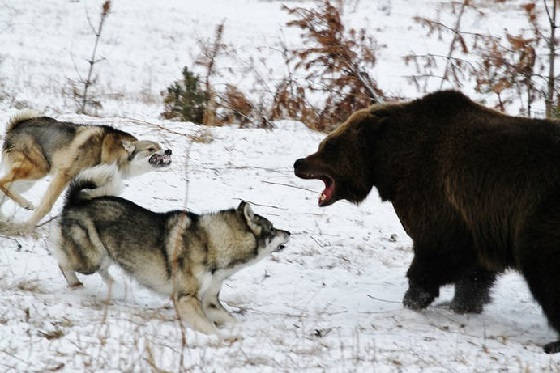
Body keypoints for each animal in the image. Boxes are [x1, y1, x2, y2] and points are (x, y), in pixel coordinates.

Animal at [296, 90, 560, 352]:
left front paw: (414, 298)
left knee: (545, 270)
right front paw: (460, 304)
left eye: (329, 145)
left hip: (540, 215)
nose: (299, 163)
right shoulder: (475, 222)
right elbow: (475, 272)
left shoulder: (438, 196)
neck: (389, 159)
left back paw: (552, 342)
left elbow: (436, 252)